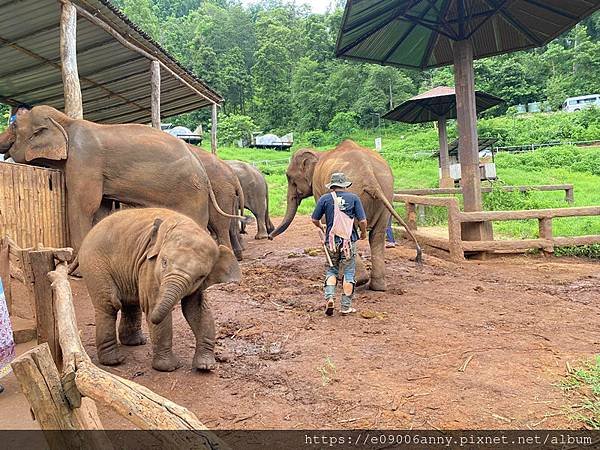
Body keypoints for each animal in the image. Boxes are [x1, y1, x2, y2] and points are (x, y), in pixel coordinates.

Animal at [78, 207, 240, 372]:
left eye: (200, 276)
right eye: (164, 262)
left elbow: (197, 309)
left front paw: (205, 366)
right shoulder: (148, 264)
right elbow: (152, 305)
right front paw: (169, 368)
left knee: (130, 303)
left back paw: (135, 342)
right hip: (93, 264)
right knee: (109, 305)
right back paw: (115, 361)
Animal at [270, 139, 420, 290]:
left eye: (289, 177)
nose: (269, 237)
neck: (318, 153)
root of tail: (370, 177)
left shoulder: (320, 189)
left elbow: (325, 222)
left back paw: (357, 281)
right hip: (387, 191)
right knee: (377, 235)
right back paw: (376, 286)